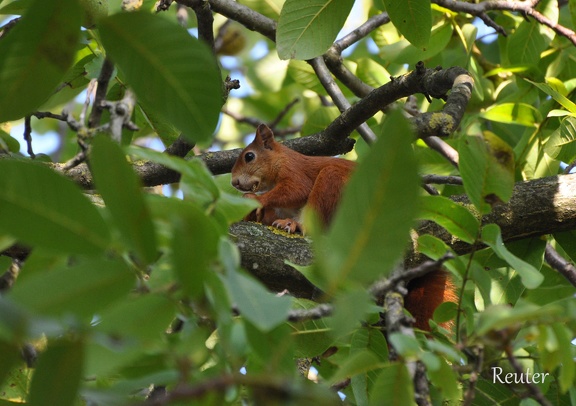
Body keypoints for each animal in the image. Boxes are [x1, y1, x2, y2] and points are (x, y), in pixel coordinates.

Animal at [230, 125, 454, 332]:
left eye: (249, 156)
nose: (234, 182)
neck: (281, 158)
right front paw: (255, 213)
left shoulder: (294, 171)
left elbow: (296, 189)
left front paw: (257, 200)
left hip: (335, 183)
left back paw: (295, 225)